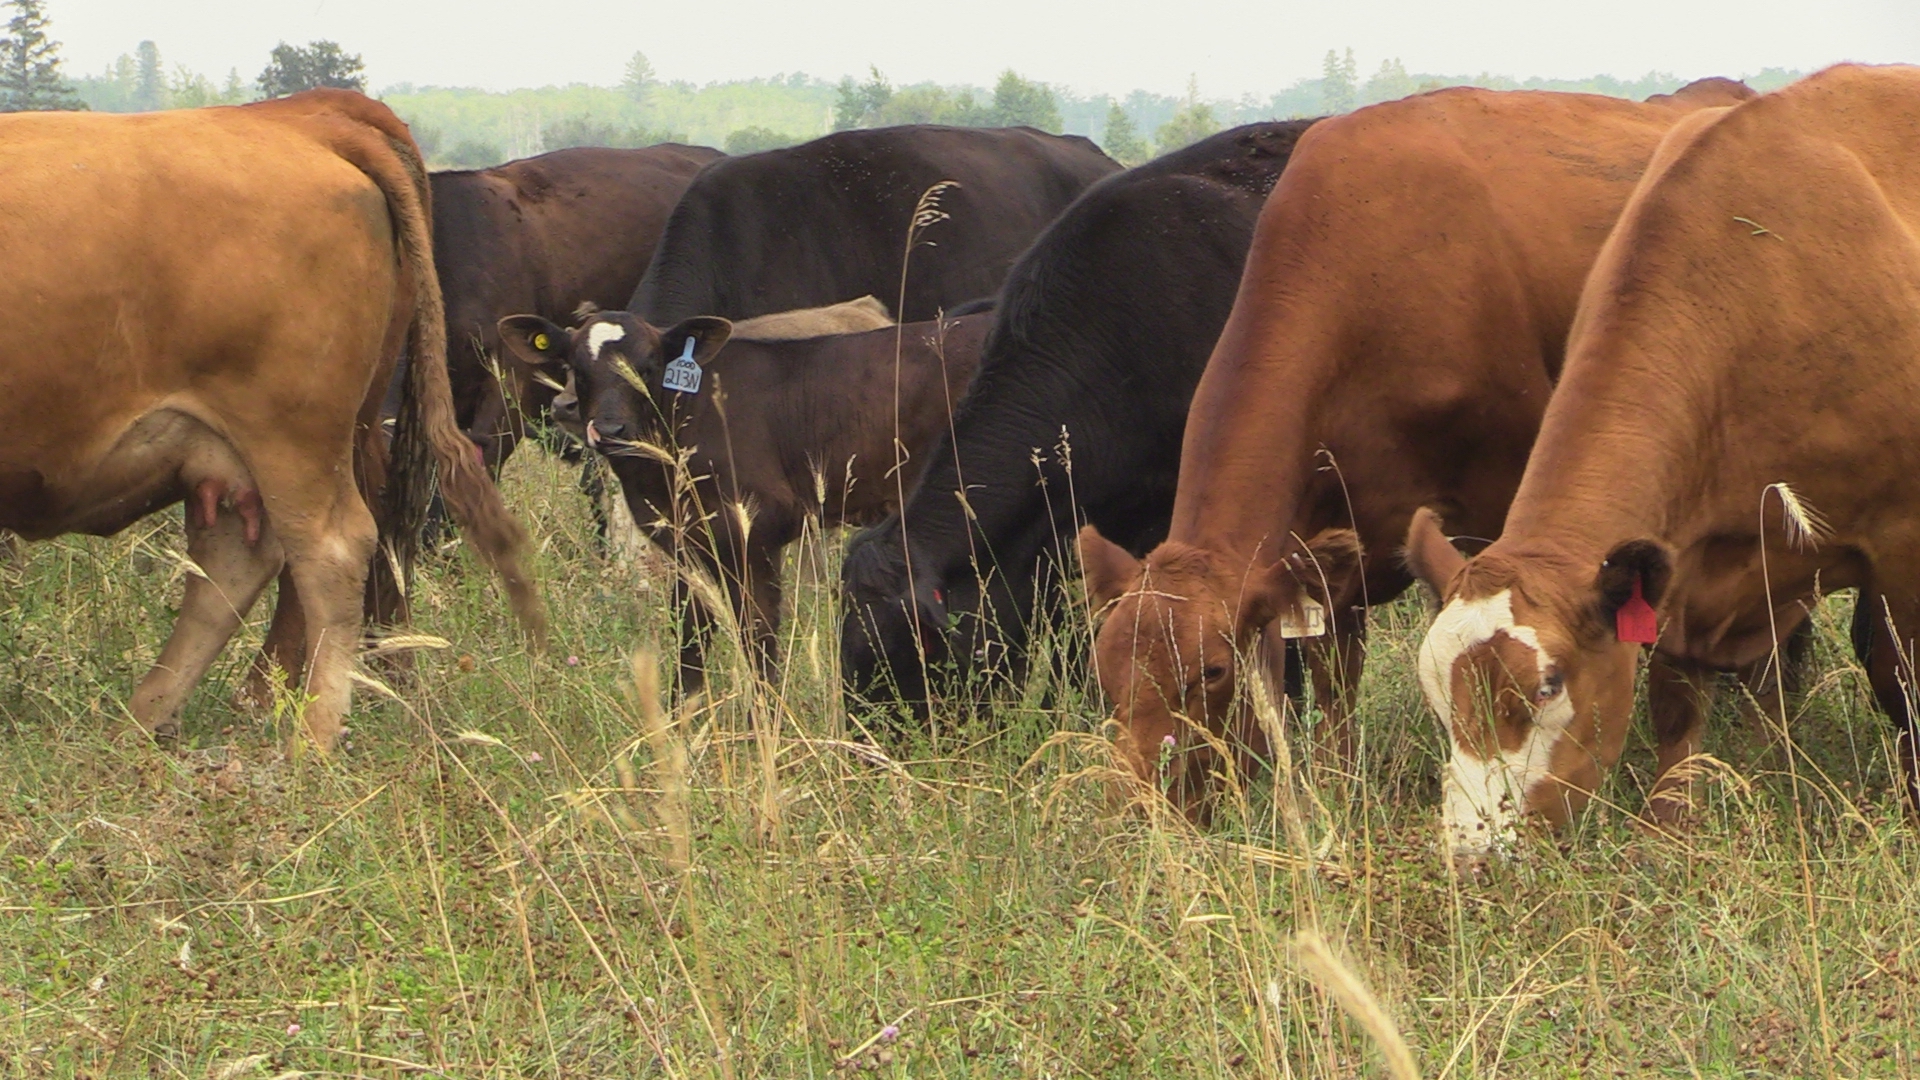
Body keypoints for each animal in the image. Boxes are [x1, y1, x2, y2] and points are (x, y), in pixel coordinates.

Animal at [0, 90, 545, 753]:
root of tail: (292, 116)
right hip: (239, 451)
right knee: (239, 564)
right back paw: (148, 720)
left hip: (290, 438)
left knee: (329, 552)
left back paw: (308, 736)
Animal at [500, 307, 991, 687]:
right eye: (576, 368)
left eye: (649, 367)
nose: (610, 429)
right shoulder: (689, 548)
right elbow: (690, 644)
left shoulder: (755, 539)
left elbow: (758, 644)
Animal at [1076, 79, 1757, 815]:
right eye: (1106, 672)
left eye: (1212, 671)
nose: (1135, 806)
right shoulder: (1325, 540)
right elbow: (1333, 683)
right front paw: (1339, 789)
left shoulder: (1494, 507)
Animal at [1404, 64, 1920, 863]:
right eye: (1439, 695)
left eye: (1547, 685)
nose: (1472, 855)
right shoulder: (1683, 566)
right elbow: (1676, 707)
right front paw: (1669, 826)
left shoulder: (1901, 542)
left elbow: (1899, 681)